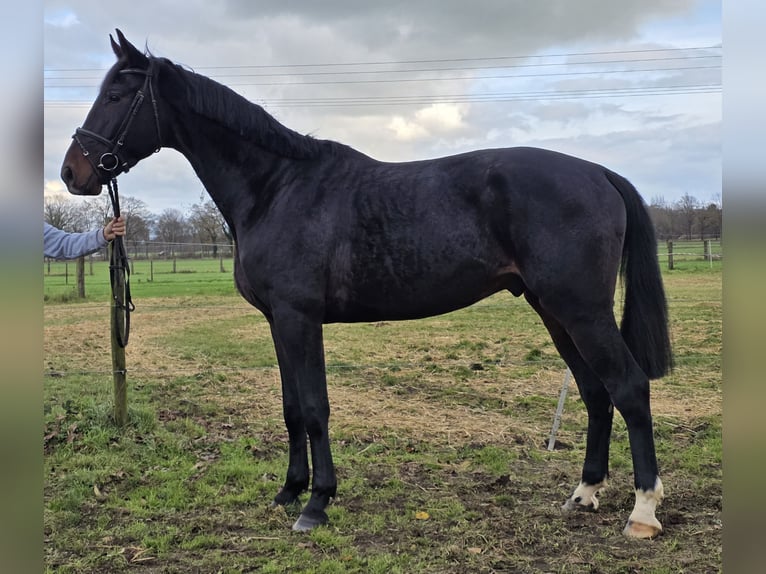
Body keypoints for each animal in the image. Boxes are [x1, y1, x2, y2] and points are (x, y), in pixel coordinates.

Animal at [61, 29, 672, 538]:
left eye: (116, 95)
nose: (73, 173)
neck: (276, 188)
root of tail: (599, 174)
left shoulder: (300, 318)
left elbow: (315, 408)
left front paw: (317, 503)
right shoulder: (278, 323)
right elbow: (291, 408)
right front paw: (289, 491)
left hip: (581, 310)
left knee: (628, 388)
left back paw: (643, 512)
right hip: (554, 309)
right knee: (595, 392)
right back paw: (585, 493)